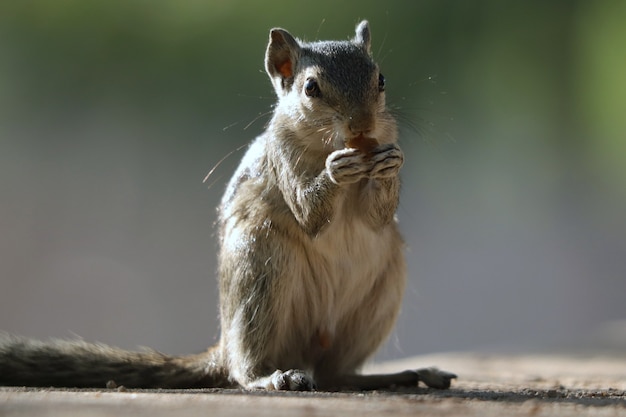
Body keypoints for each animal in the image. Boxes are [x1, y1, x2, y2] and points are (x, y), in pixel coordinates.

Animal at [0, 18, 454, 390]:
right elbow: (310, 213)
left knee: (336, 374)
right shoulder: (281, 156)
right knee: (245, 368)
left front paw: (390, 165)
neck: (329, 142)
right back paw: (271, 378)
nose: (362, 126)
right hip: (260, 269)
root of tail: (224, 346)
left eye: (382, 80)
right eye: (310, 88)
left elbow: (377, 216)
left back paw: (403, 375)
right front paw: (336, 170)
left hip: (380, 292)